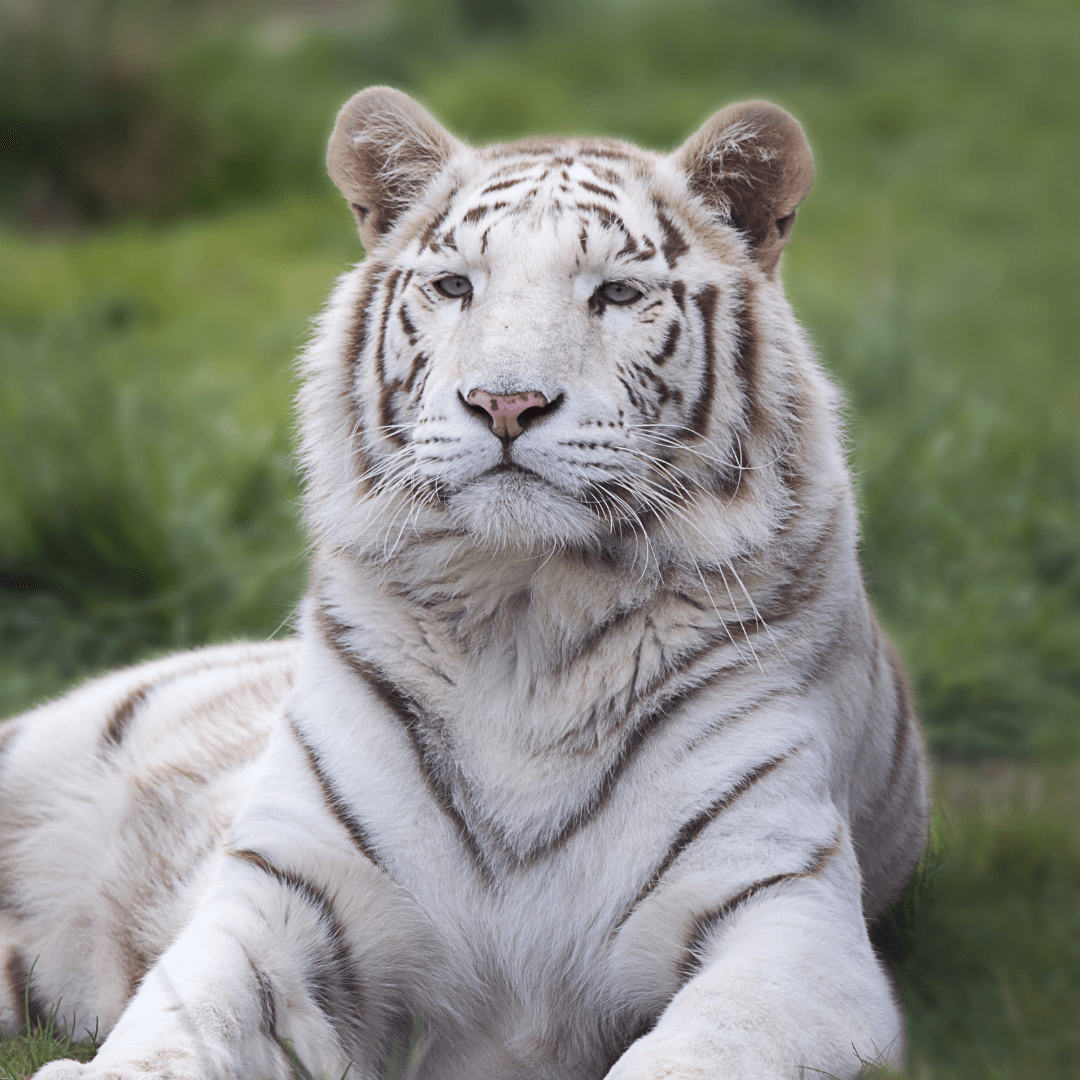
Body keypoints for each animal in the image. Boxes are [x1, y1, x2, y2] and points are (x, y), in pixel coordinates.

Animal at [0, 88, 928, 1075]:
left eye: (616, 293)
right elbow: (180, 1019)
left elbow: (698, 1052)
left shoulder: (785, 920)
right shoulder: (286, 889)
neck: (525, 618)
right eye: (455, 287)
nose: (505, 403)